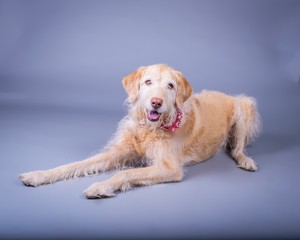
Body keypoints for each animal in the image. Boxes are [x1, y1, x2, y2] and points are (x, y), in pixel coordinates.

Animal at [19, 63, 262, 199]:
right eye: (148, 82)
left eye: (170, 86)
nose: (156, 103)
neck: (149, 129)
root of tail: (227, 94)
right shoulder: (118, 152)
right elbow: (76, 165)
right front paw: (39, 175)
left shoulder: (169, 168)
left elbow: (125, 173)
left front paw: (101, 186)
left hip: (245, 104)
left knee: (237, 147)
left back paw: (245, 160)